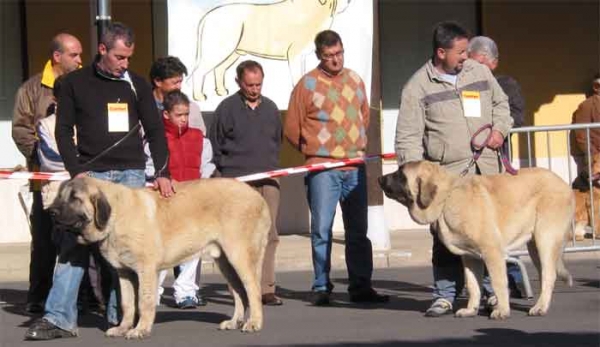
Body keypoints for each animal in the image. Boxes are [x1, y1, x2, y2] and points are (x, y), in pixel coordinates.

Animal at [49, 177, 270, 340]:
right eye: (60, 197)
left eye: (75, 198)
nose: (51, 211)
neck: (116, 216)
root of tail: (258, 197)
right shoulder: (124, 272)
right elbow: (127, 304)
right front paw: (123, 328)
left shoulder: (146, 269)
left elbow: (144, 301)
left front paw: (140, 329)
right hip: (225, 261)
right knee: (239, 292)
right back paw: (235, 322)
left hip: (239, 255)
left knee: (252, 290)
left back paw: (254, 323)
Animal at [378, 162, 576, 320]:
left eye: (400, 174)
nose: (380, 178)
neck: (446, 197)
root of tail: (564, 184)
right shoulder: (470, 257)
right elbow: (473, 285)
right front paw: (471, 310)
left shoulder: (492, 252)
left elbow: (498, 282)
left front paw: (502, 310)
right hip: (534, 246)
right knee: (545, 274)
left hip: (545, 239)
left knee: (549, 274)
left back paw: (540, 307)